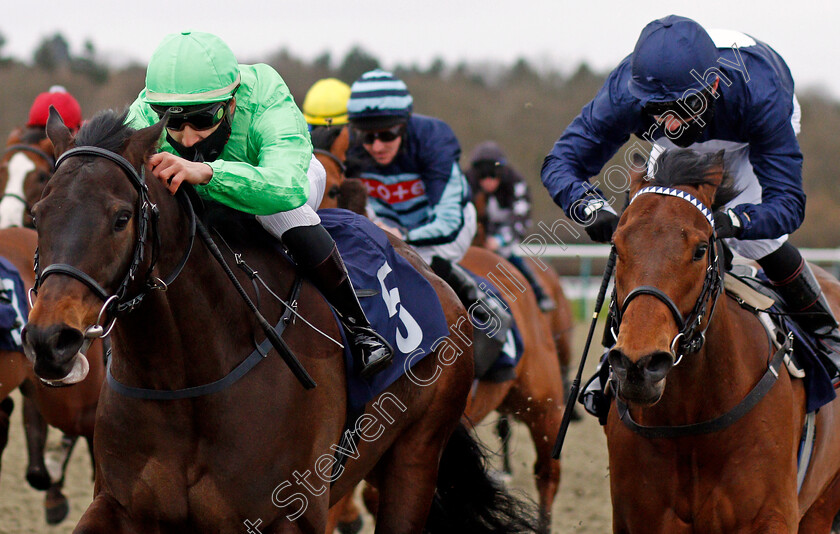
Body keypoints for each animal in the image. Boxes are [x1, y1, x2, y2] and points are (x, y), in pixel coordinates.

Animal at [608, 149, 840, 532]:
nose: (638, 365)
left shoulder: (772, 517)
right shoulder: (639, 519)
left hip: (822, 505)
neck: (690, 420)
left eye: (701, 249)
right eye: (616, 244)